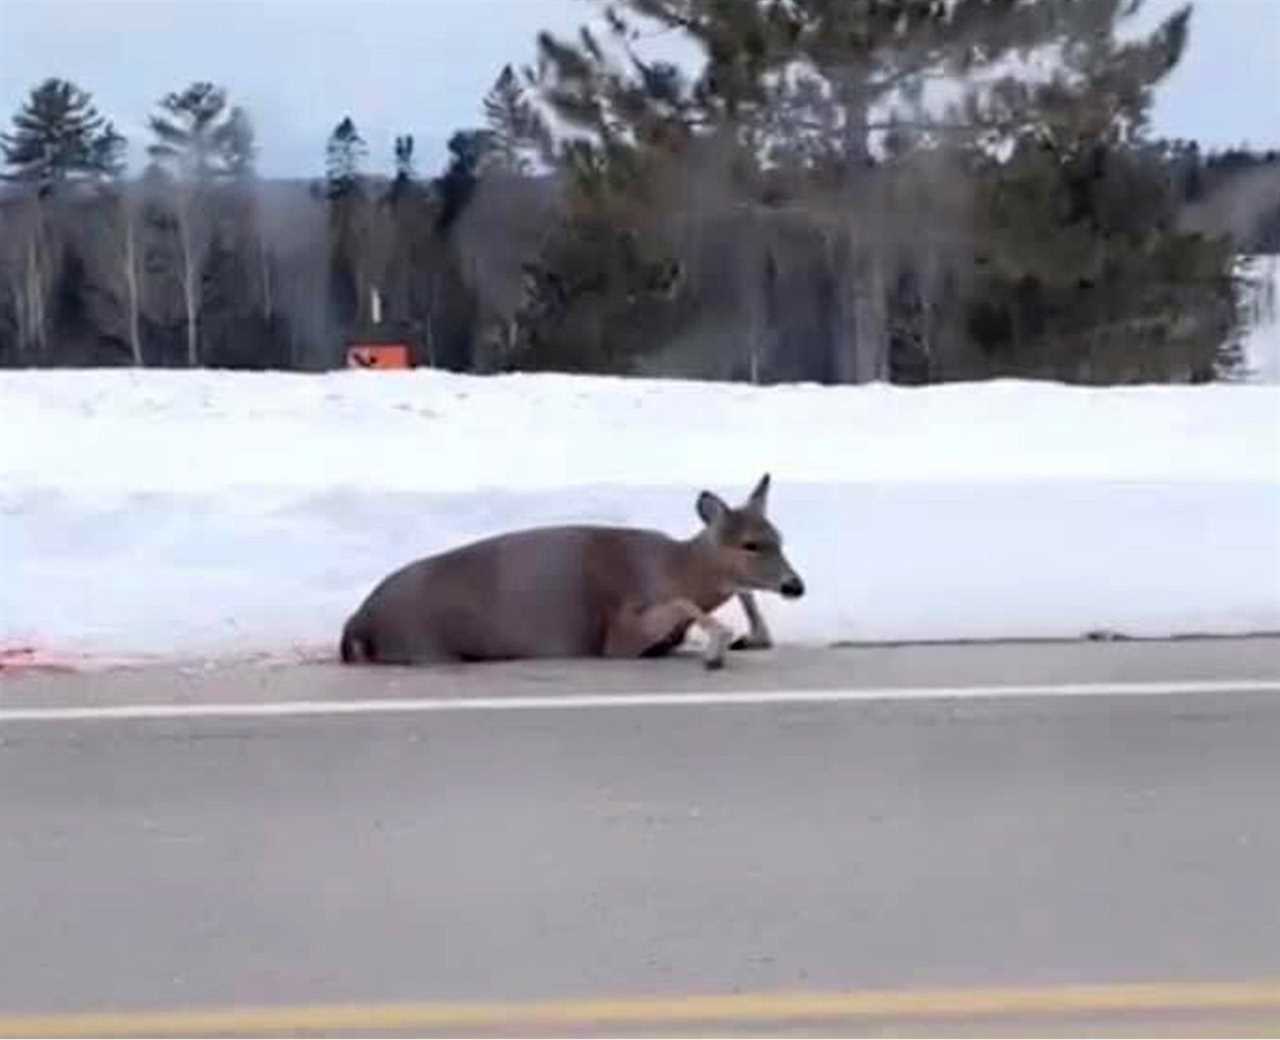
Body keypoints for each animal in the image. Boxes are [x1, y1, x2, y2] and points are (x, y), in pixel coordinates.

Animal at [340, 476, 798, 671]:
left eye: (779, 537)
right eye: (750, 544)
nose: (796, 585)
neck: (676, 566)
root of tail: (358, 623)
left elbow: (743, 594)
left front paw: (749, 637)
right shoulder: (617, 635)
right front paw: (717, 645)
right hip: (425, 643)